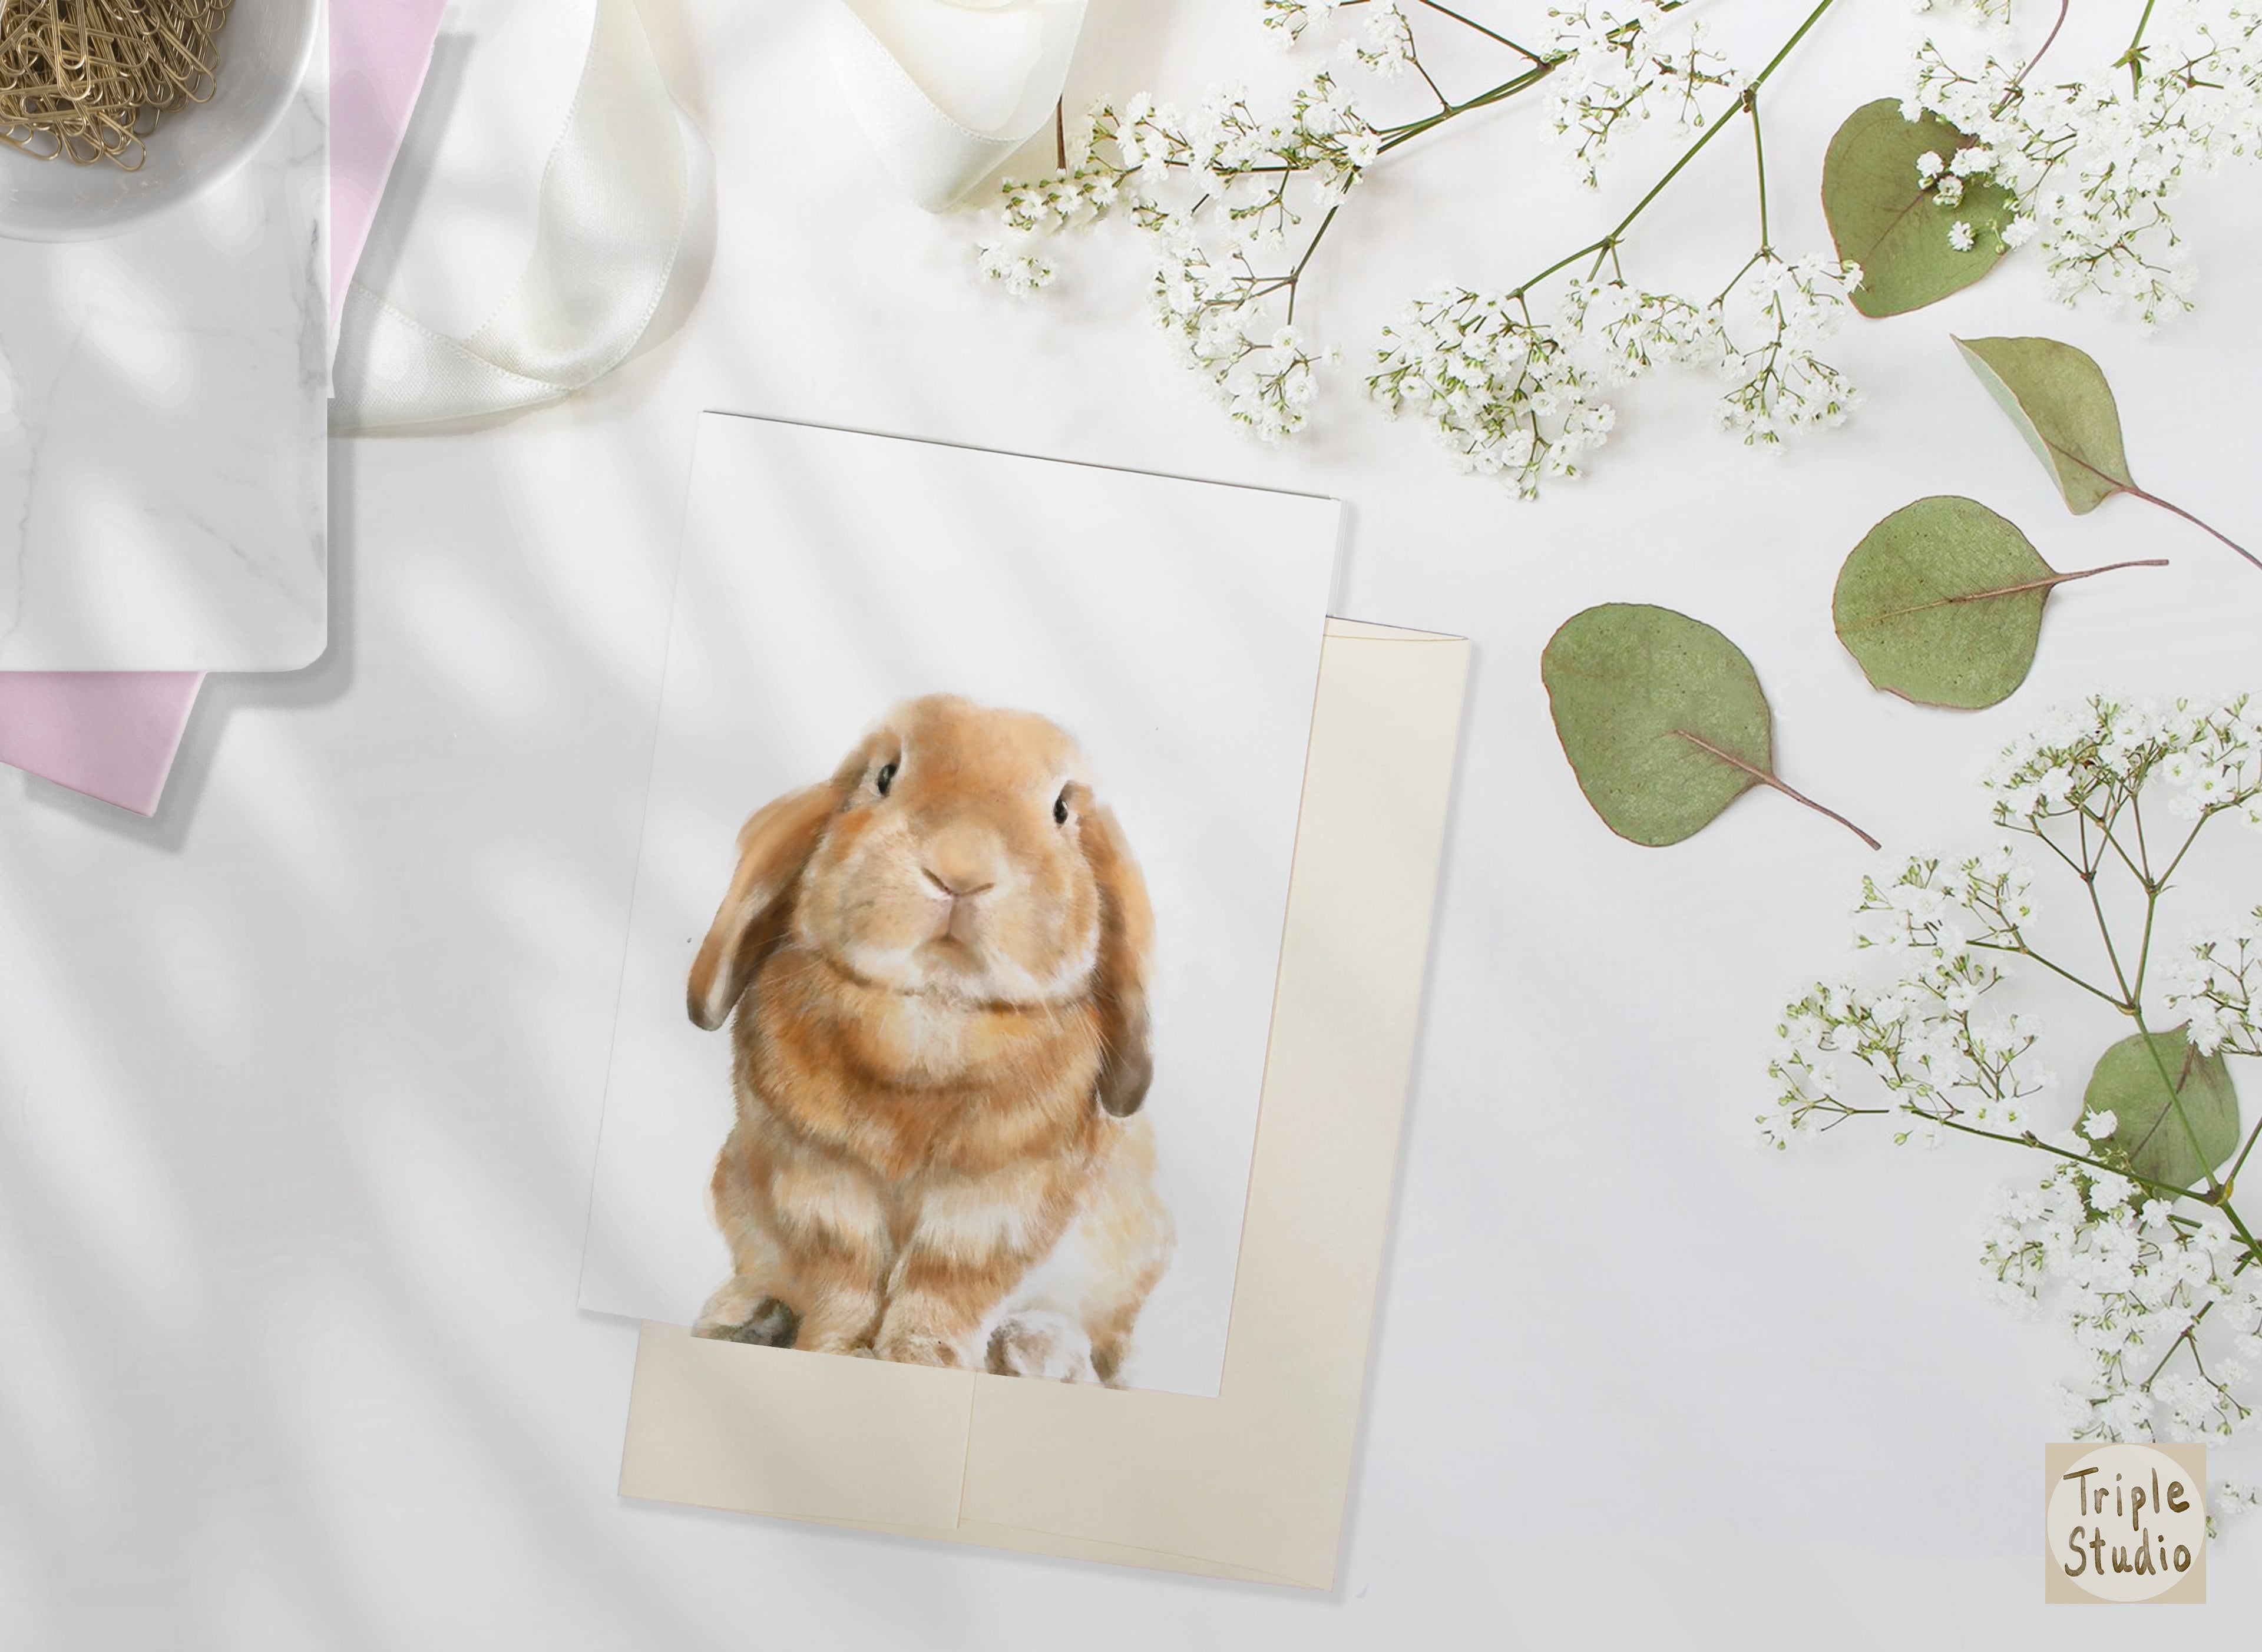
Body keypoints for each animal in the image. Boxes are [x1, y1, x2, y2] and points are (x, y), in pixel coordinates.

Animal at [684, 693, 1174, 1385]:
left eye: (1061, 810)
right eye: (885, 776)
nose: (960, 871)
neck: (935, 1015)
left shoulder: (999, 1203)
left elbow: (946, 1283)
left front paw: (923, 1360)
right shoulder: (818, 1179)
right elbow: (845, 1273)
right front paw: (835, 1351)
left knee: (1097, 1342)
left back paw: (1038, 1352)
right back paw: (744, 1316)